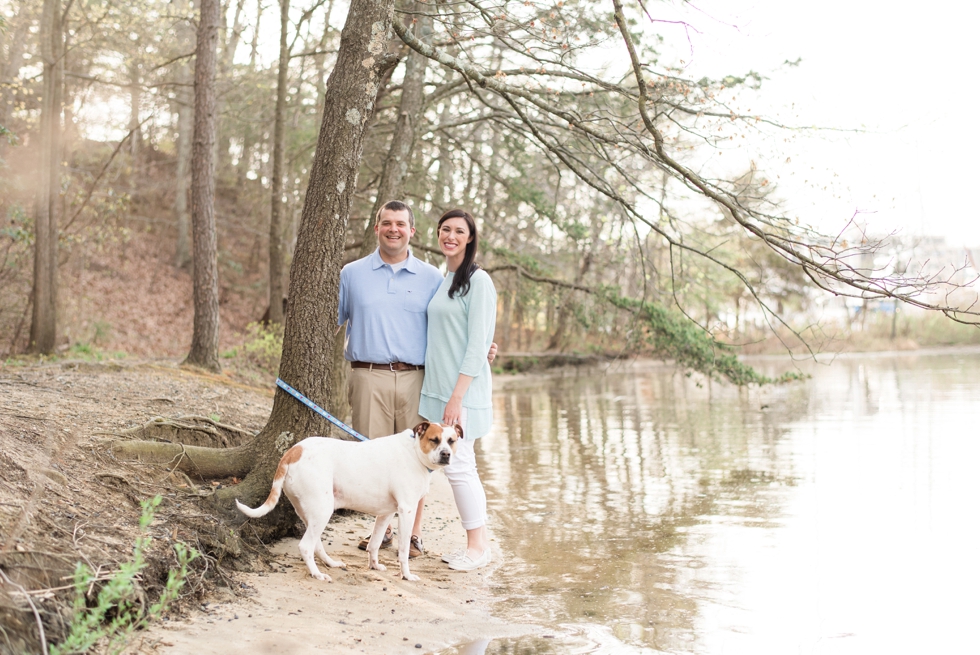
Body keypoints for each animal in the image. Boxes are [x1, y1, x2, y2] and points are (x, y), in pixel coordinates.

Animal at [235, 422, 462, 580]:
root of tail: (293, 451)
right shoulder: (406, 511)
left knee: (316, 544)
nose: (446, 454)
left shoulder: (386, 513)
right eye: (434, 440)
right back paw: (317, 574)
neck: (414, 452)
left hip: (312, 512)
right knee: (306, 546)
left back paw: (330, 563)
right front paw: (406, 575)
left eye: (451, 441)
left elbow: (374, 544)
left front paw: (374, 566)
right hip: (322, 510)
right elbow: (404, 550)